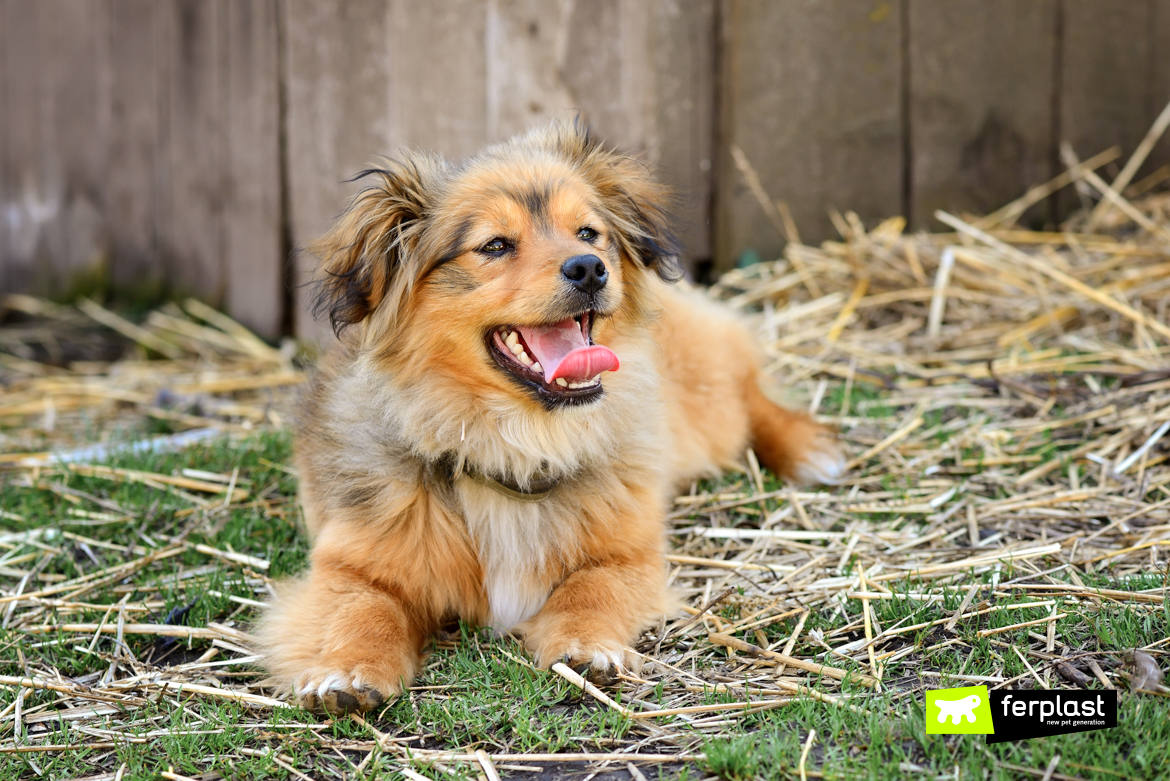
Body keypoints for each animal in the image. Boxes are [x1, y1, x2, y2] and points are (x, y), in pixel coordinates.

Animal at [260, 122, 847, 715]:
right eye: (495, 245)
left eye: (588, 233)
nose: (589, 267)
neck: (520, 442)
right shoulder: (351, 565)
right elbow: (362, 610)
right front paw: (347, 669)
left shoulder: (627, 555)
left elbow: (591, 590)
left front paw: (587, 647)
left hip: (706, 394)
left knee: (747, 391)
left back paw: (808, 449)